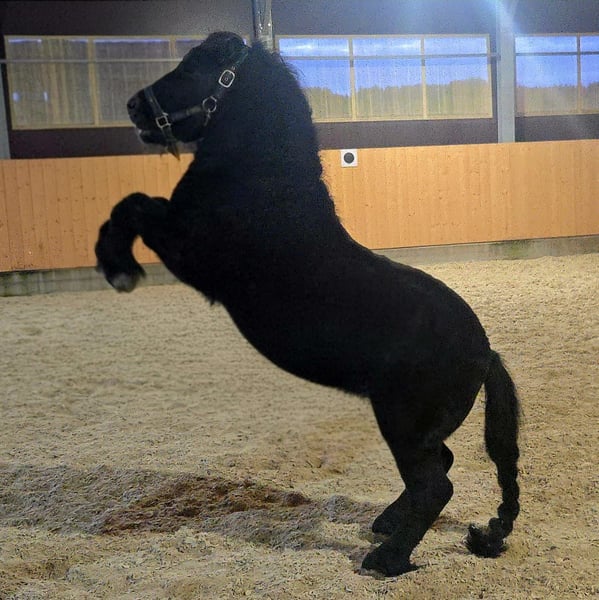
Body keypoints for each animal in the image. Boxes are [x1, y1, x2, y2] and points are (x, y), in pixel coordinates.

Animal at [95, 32, 521, 576]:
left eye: (191, 67)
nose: (133, 106)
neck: (262, 187)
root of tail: (485, 352)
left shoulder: (190, 253)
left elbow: (132, 205)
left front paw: (118, 268)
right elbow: (133, 203)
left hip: (402, 424)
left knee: (435, 485)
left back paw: (386, 558)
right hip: (416, 430)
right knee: (438, 469)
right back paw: (386, 524)